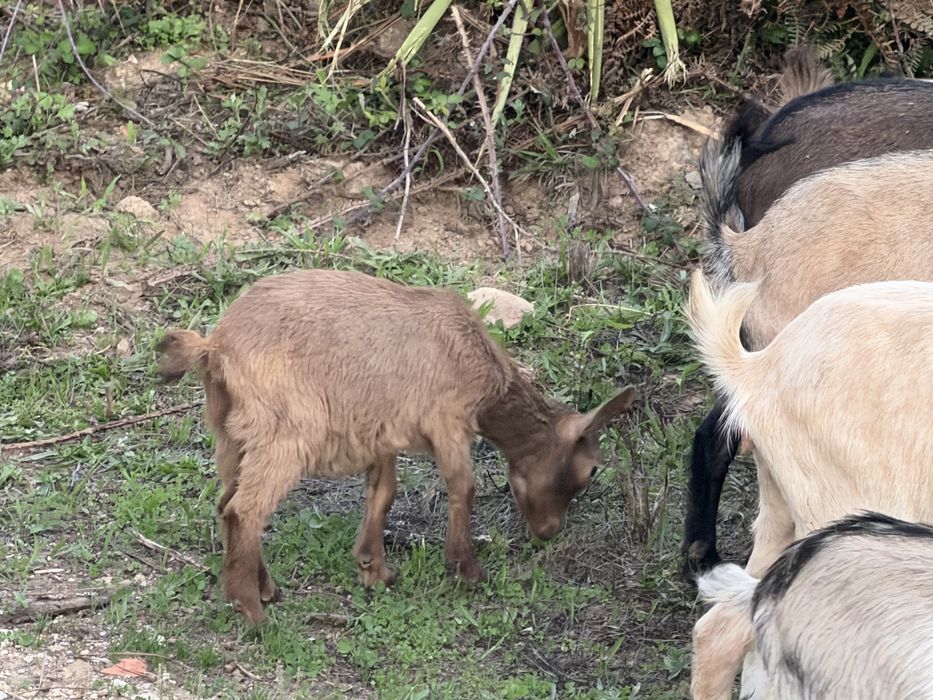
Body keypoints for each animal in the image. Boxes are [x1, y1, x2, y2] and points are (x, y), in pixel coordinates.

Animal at [157, 269, 638, 623]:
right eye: (591, 469)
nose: (549, 531)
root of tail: (215, 348)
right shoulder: (448, 422)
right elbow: (463, 487)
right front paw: (466, 570)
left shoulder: (382, 430)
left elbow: (383, 492)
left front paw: (374, 568)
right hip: (284, 433)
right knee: (246, 509)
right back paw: (252, 609)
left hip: (231, 434)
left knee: (226, 504)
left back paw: (264, 589)